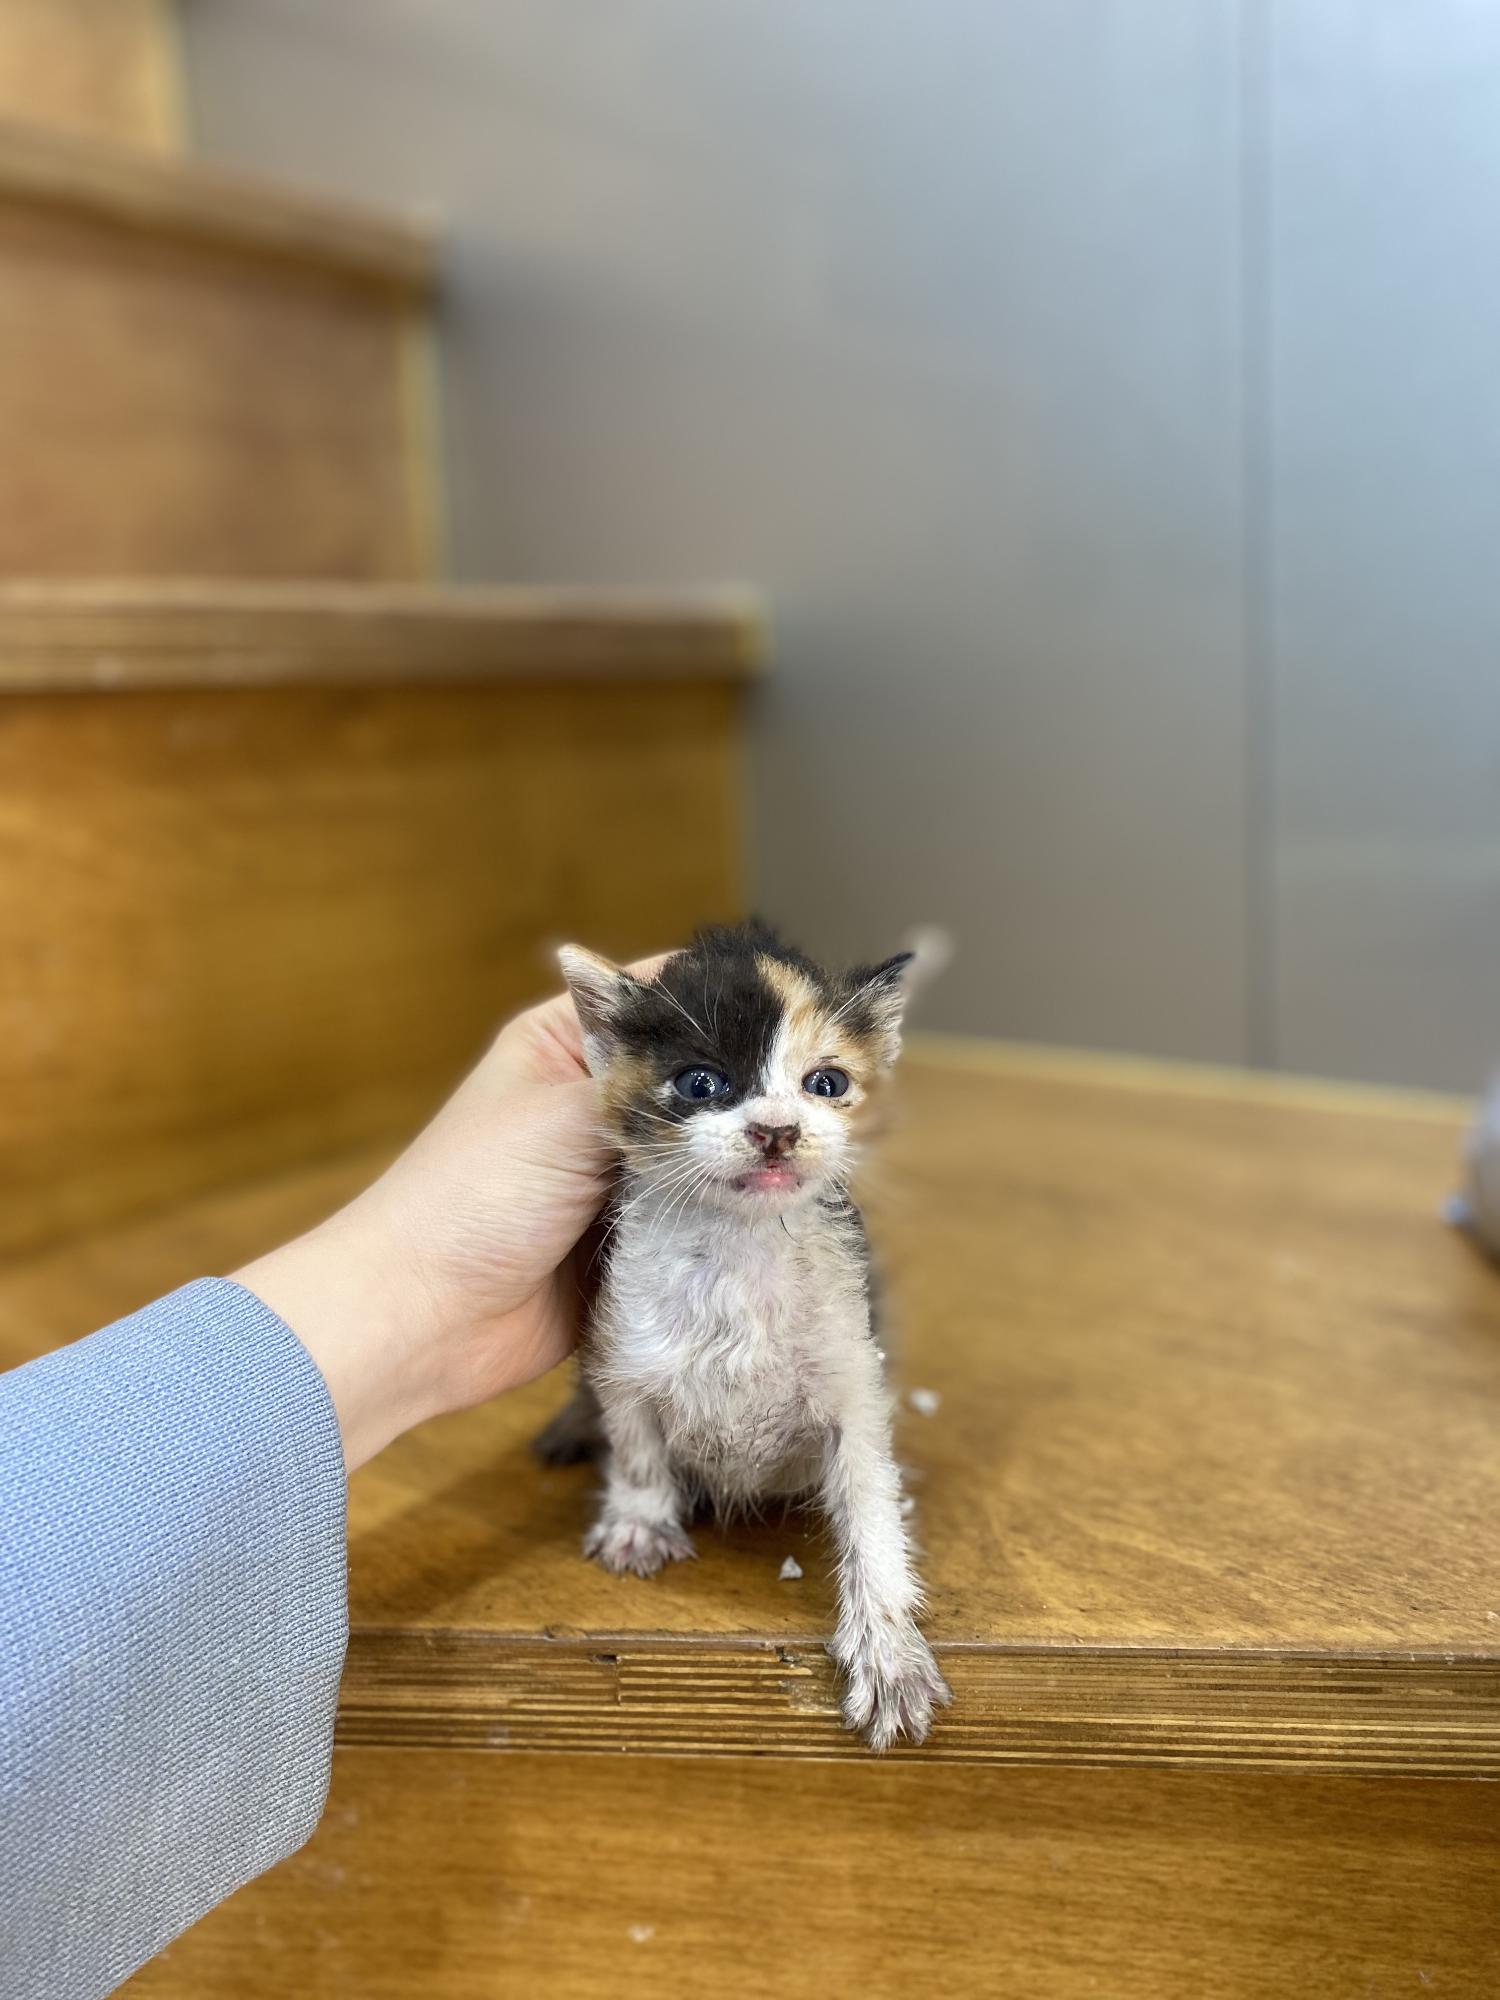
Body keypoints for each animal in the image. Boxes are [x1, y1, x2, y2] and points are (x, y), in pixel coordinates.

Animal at [540, 920, 952, 1752]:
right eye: (702, 1084)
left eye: (825, 1084)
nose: (776, 1130)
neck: (741, 1245)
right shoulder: (623, 1346)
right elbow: (635, 1438)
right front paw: (639, 1520)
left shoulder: (854, 1372)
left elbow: (870, 1499)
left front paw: (889, 1647)